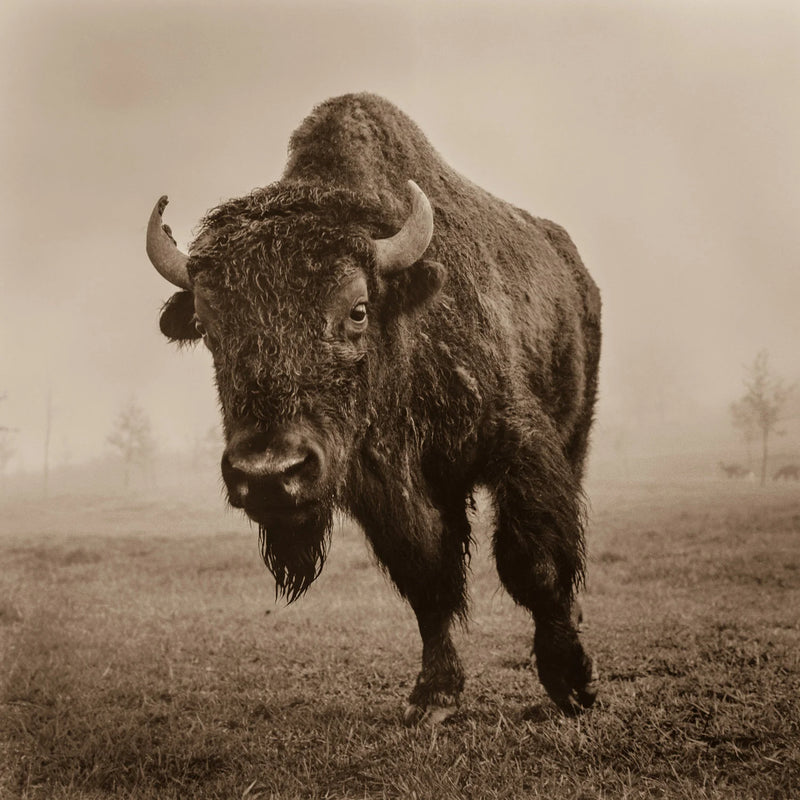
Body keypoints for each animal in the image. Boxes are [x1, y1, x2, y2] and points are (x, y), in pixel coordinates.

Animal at [146, 93, 601, 721]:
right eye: (210, 330)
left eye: (357, 310)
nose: (268, 474)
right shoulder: (382, 486)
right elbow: (427, 575)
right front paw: (434, 696)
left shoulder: (518, 444)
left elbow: (534, 563)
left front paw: (573, 683)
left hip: (574, 426)